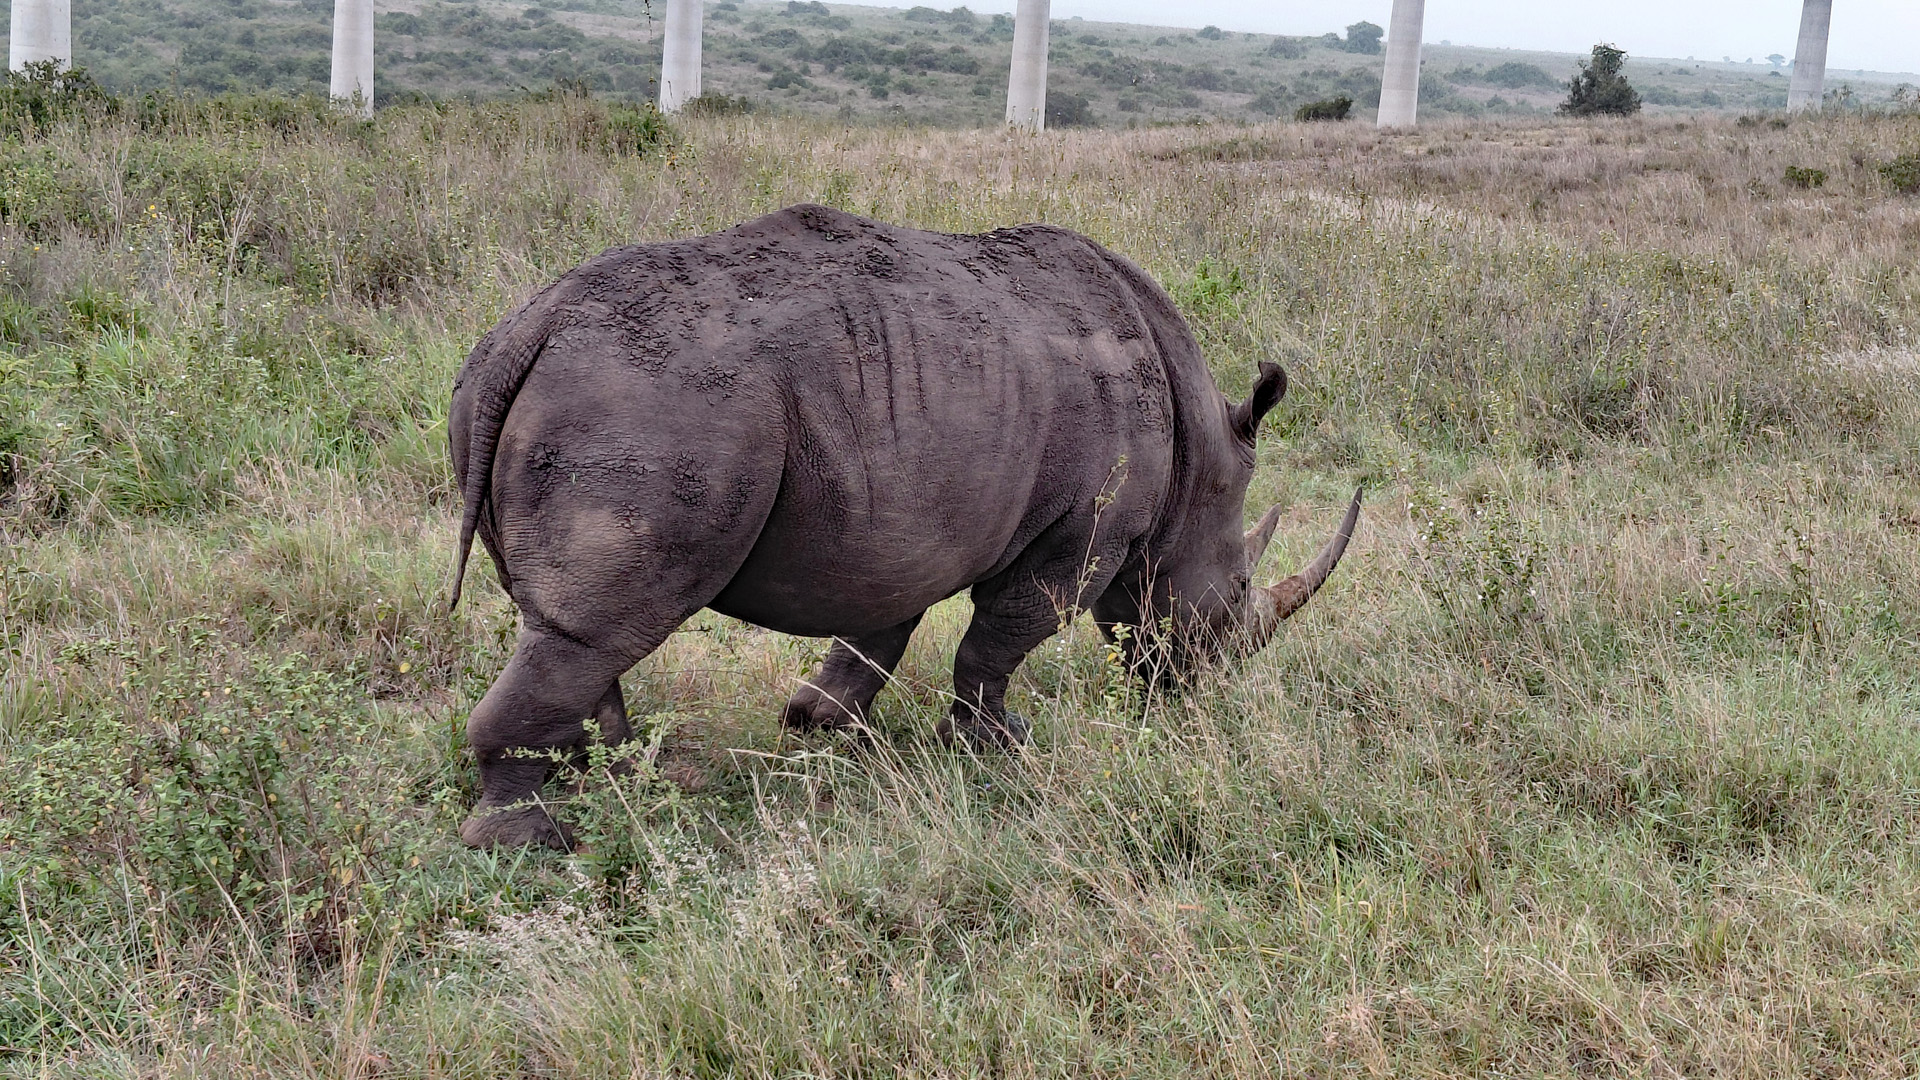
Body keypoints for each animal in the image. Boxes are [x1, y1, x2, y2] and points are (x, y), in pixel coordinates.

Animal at [448, 204, 1359, 848]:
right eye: (1237, 592)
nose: (1196, 696)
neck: (1194, 462)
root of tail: (532, 332)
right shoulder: (1082, 535)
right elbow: (1001, 638)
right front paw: (998, 746)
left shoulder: (904, 516)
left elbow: (877, 630)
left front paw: (819, 725)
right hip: (653, 402)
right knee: (599, 627)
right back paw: (531, 840)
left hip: (585, 393)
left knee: (581, 627)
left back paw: (620, 774)